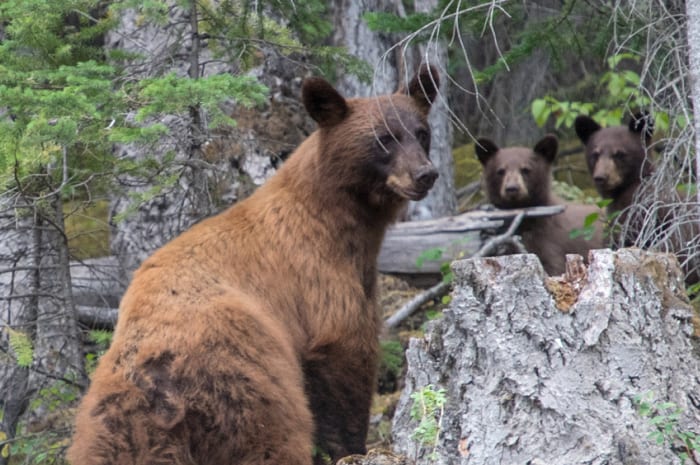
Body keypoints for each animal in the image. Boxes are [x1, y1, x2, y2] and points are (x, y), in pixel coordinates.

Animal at [66, 65, 440, 465]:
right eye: (383, 139)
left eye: (422, 132)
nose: (425, 174)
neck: (335, 217)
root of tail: (157, 382)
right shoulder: (320, 275)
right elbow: (345, 354)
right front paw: (352, 446)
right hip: (246, 384)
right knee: (272, 437)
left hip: (117, 426)